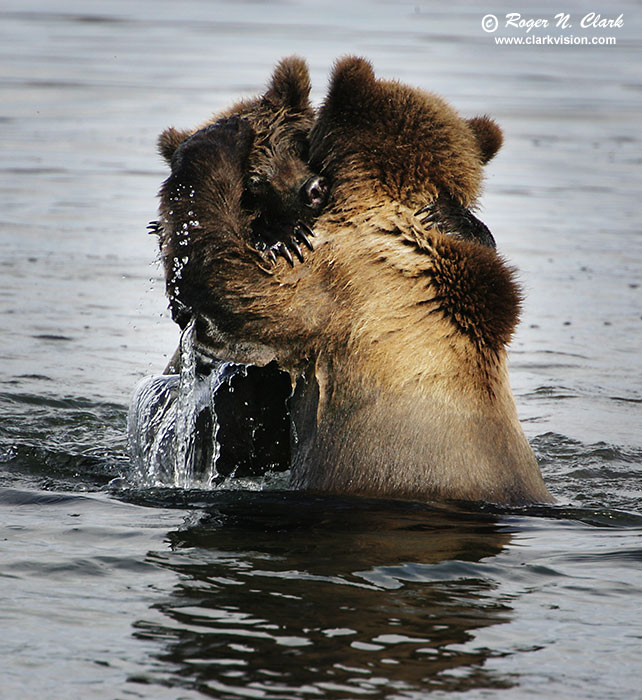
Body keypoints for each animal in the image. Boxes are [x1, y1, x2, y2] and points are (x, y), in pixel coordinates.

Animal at [154, 54, 552, 504]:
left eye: (299, 146)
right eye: (253, 183)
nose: (312, 189)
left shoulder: (330, 282)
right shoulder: (326, 282)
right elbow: (218, 290)